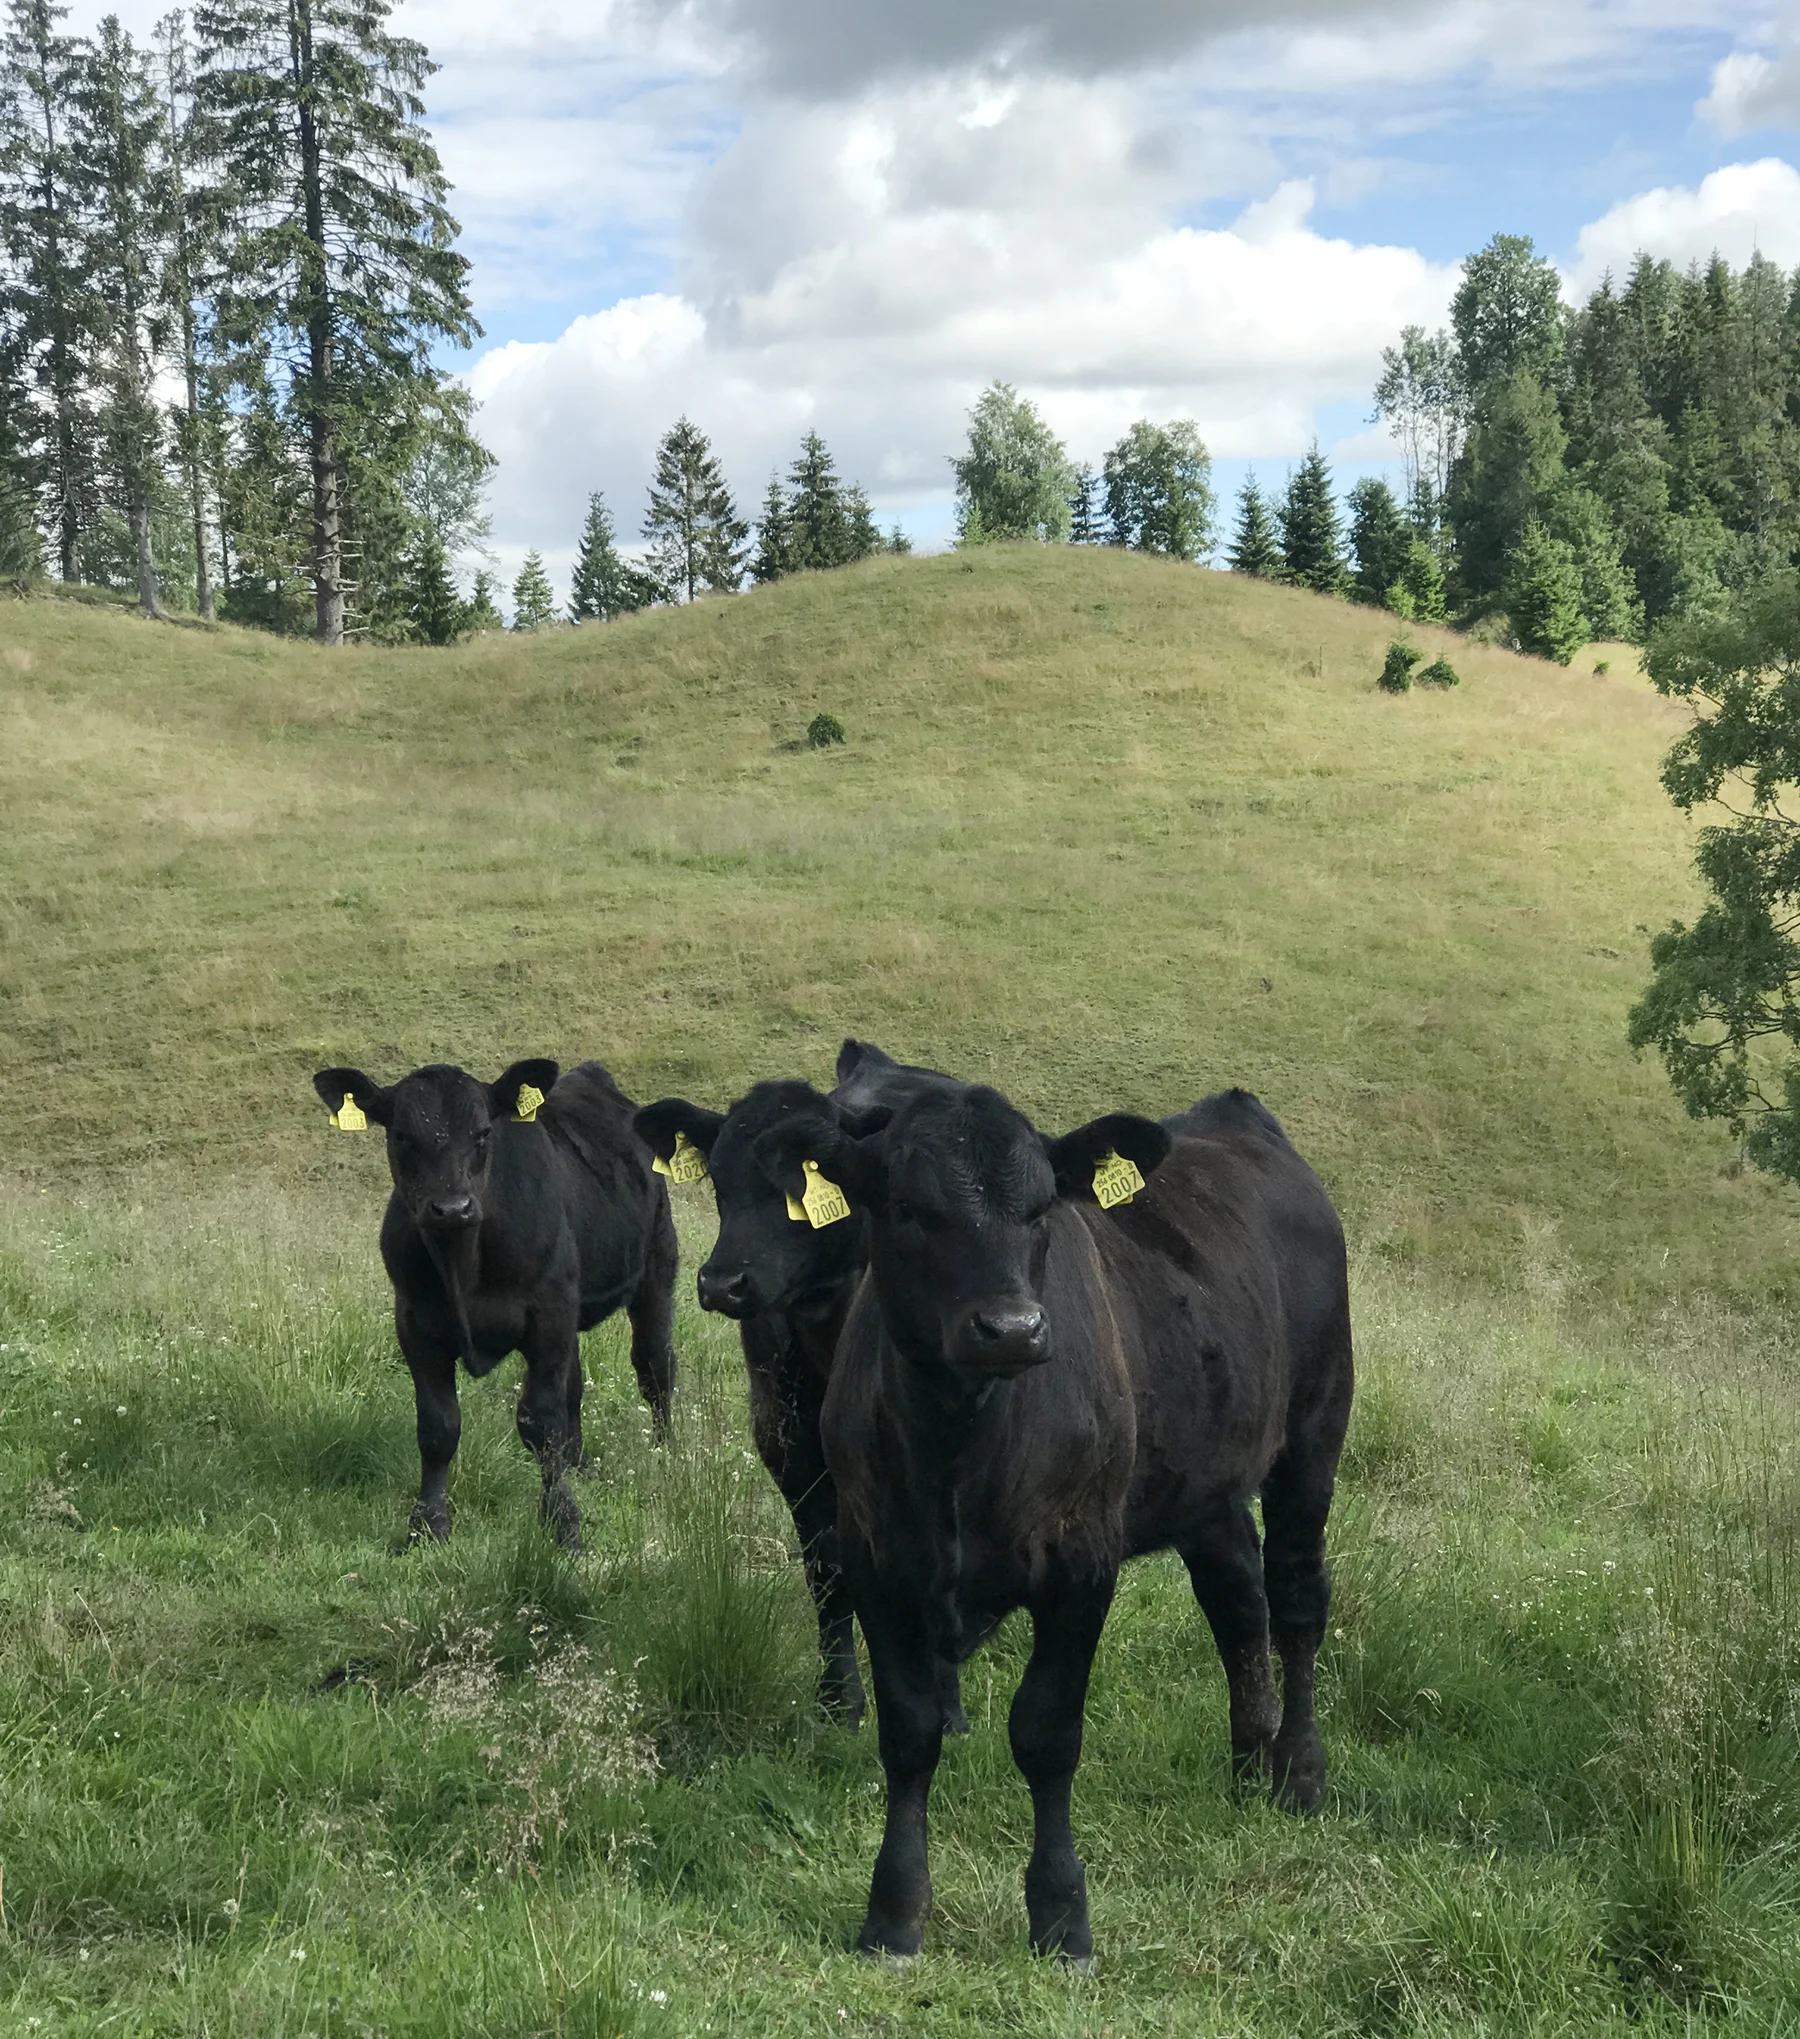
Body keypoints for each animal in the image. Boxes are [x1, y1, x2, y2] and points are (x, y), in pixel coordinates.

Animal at [312, 1059, 678, 1551]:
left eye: (483, 1133)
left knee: (655, 1365)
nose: (451, 1208)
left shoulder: (547, 1316)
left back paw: (666, 1453)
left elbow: (540, 1423)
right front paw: (428, 1524)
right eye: (401, 1136)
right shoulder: (414, 1325)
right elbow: (438, 1427)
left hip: (656, 1264)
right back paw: (579, 1464)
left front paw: (563, 1523)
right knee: (576, 1384)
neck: (462, 1264)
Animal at [633, 1040, 960, 1726]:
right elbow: (826, 1566)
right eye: (718, 1179)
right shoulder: (783, 1437)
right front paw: (839, 1696)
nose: (723, 1283)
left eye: (810, 1178)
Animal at [747, 1078, 1352, 1965]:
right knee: (1239, 1600)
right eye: (907, 1207)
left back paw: (1301, 1771)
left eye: (1039, 1211)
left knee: (1299, 1598)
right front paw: (893, 1911)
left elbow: (1047, 1731)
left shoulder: (1081, 1563)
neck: (959, 1441)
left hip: (1315, 1425)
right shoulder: (874, 1559)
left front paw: (1063, 1916)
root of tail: (1240, 1117)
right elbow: (909, 1731)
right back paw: (1250, 1761)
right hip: (1205, 1481)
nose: (1012, 1327)